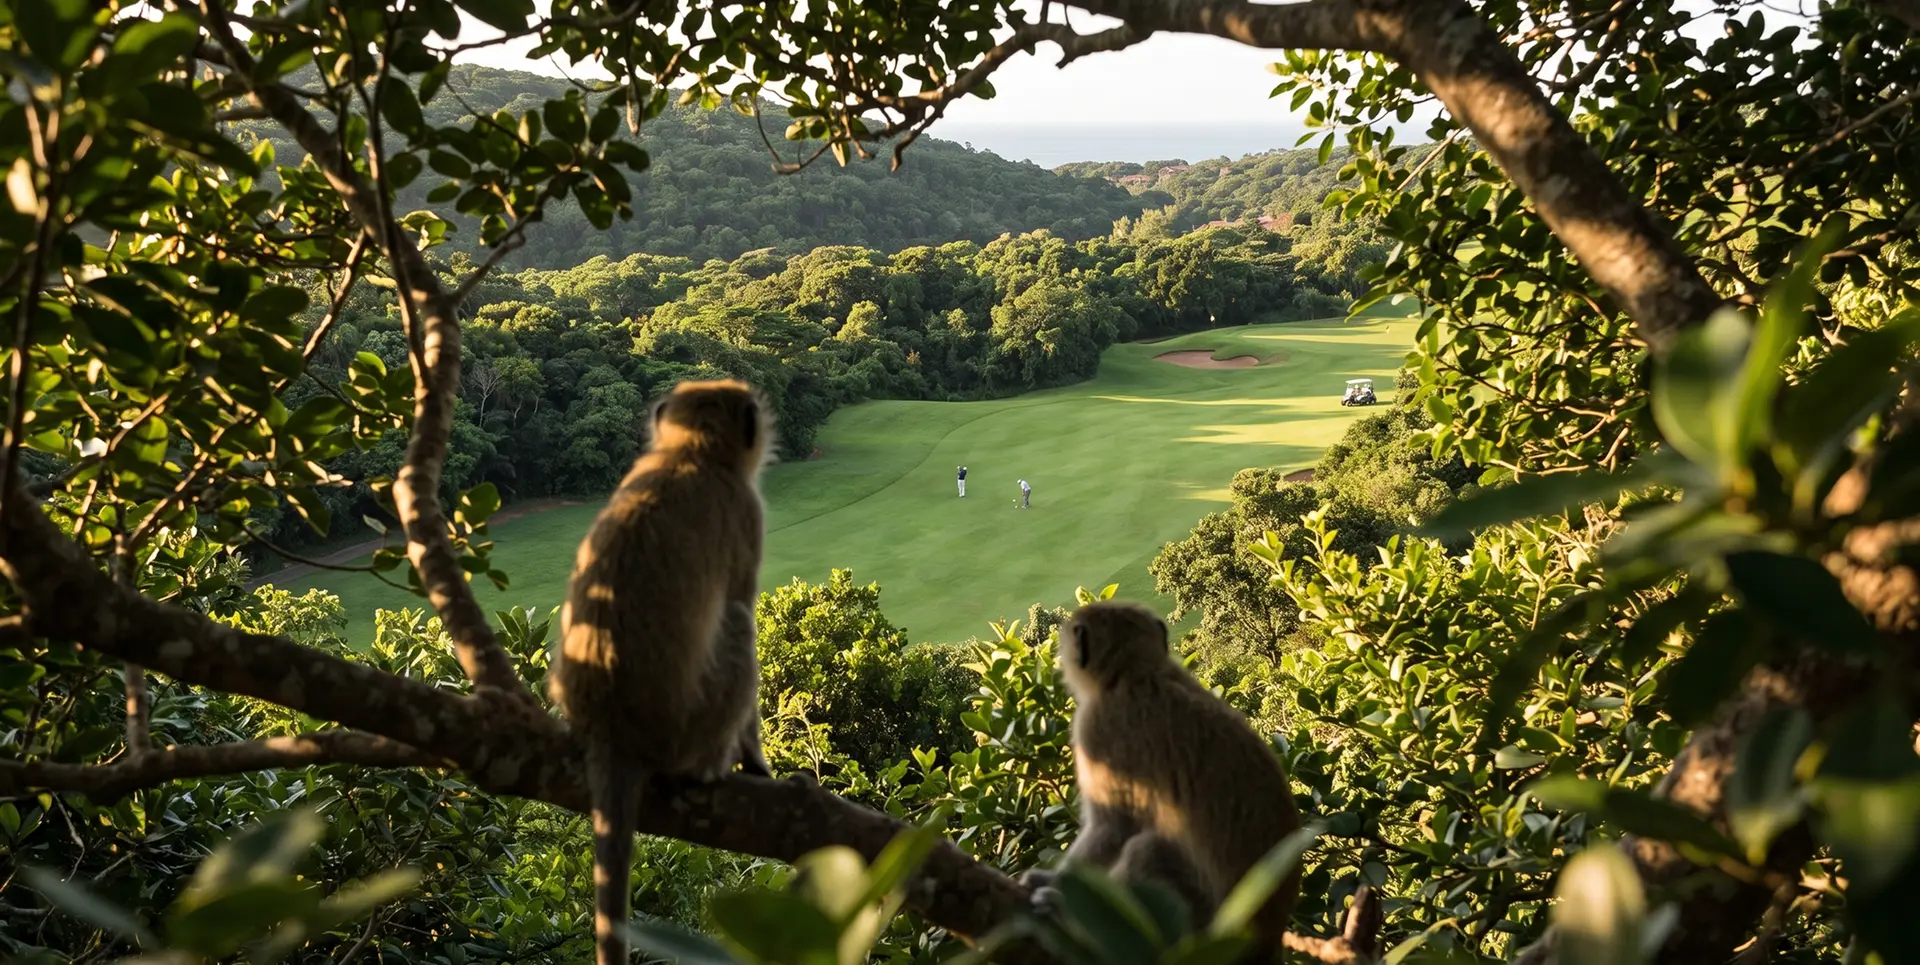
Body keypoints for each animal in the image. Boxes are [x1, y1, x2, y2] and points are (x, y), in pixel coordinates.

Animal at [547, 378, 775, 965]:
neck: (688, 453)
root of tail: (612, 731)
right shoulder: (747, 513)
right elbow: (742, 604)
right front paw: (756, 762)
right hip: (689, 729)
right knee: (737, 622)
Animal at [1021, 600, 1303, 961]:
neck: (1139, 672)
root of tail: (1267, 939)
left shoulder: (1095, 728)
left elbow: (1114, 827)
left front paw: (1054, 885)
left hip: (1203, 923)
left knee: (1149, 850)